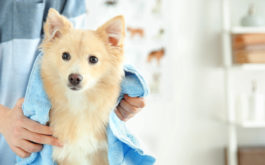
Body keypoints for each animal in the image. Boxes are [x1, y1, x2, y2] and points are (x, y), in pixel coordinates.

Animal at [40, 9, 125, 165]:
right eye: (65, 56)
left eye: (93, 59)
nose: (74, 78)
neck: (78, 102)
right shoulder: (65, 155)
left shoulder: (100, 154)